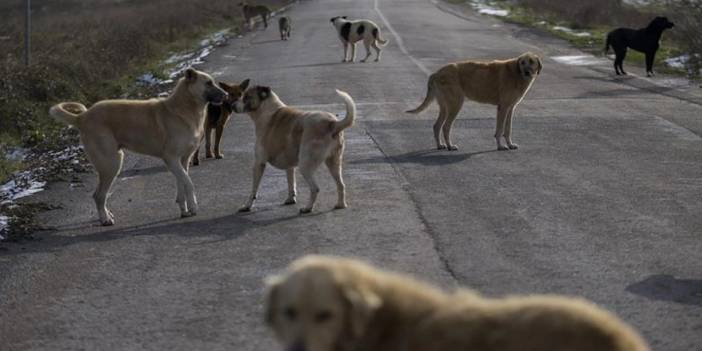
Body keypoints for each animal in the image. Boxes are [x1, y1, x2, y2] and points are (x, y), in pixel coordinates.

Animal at [52, 69, 228, 227]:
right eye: (208, 83)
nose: (226, 95)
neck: (183, 108)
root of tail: (82, 117)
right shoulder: (171, 158)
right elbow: (189, 183)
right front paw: (193, 206)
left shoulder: (182, 161)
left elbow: (182, 184)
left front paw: (184, 209)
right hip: (111, 164)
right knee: (98, 195)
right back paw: (105, 219)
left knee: (101, 195)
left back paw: (107, 215)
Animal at [408, 52, 544, 151]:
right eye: (522, 62)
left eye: (531, 62)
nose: (526, 72)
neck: (516, 73)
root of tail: (436, 73)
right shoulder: (503, 107)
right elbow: (500, 130)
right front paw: (500, 146)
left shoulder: (510, 108)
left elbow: (507, 129)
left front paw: (510, 144)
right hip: (455, 104)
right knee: (446, 127)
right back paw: (450, 146)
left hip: (445, 106)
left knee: (436, 126)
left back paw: (440, 145)